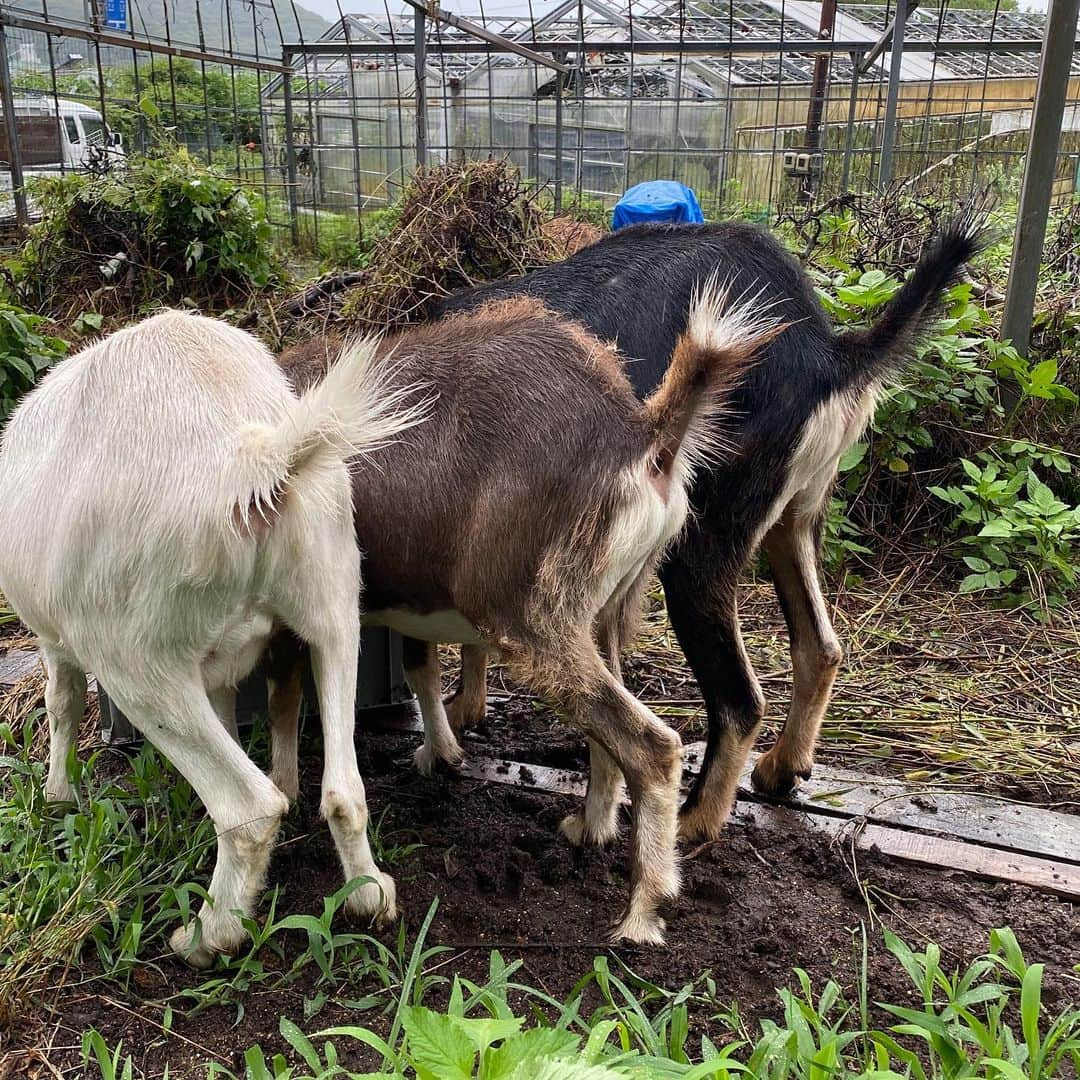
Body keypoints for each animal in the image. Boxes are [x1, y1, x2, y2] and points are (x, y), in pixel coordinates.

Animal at [0, 308, 427, 967]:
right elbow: (226, 708)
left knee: (249, 809)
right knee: (343, 790)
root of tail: (250, 461)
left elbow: (61, 703)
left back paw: (208, 936)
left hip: (135, 658)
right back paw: (369, 896)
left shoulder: (54, 638)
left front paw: (58, 796)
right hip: (333, 595)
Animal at [265, 291, 781, 941]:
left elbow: (284, 699)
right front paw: (440, 754)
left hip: (531, 614)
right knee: (608, 721)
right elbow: (418, 666)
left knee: (654, 746)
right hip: (601, 606)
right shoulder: (415, 597)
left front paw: (284, 790)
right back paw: (590, 828)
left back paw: (642, 911)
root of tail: (642, 436)